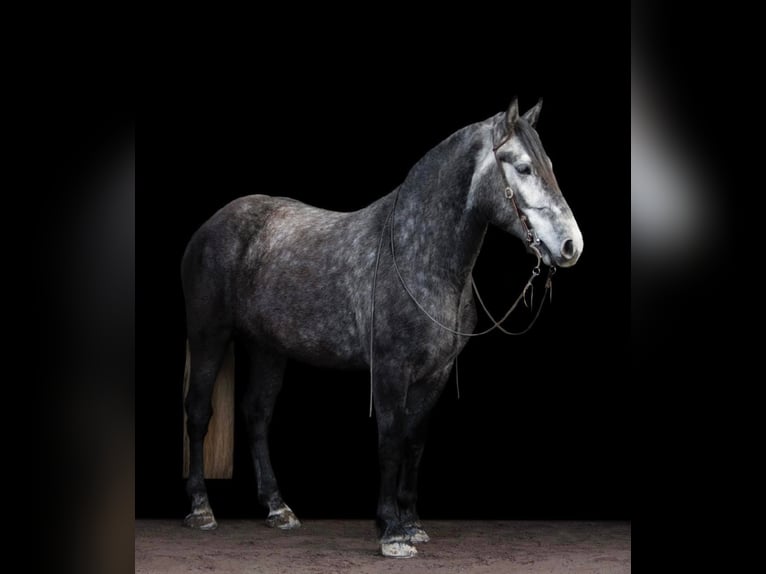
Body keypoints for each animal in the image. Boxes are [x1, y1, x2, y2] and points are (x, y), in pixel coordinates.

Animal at [182, 98, 588, 560]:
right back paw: (201, 510)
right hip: (209, 336)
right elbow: (391, 440)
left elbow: (414, 441)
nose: (571, 246)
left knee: (256, 415)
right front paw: (391, 531)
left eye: (549, 165)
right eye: (523, 167)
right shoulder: (392, 369)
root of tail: (211, 226)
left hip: (269, 349)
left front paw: (411, 524)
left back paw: (278, 508)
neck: (416, 254)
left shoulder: (434, 374)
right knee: (198, 413)